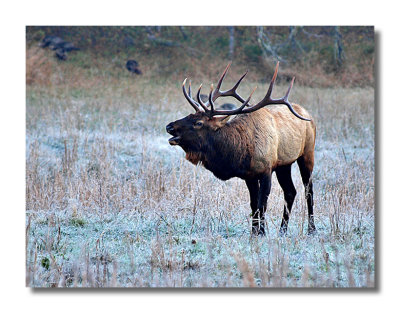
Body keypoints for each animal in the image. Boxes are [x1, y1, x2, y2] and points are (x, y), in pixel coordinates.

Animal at [166, 63, 316, 234]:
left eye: (198, 123)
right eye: (189, 115)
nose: (169, 126)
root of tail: (307, 113)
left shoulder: (266, 169)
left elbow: (262, 204)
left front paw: (261, 232)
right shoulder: (249, 175)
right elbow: (253, 205)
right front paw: (255, 232)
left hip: (307, 153)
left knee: (308, 190)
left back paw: (312, 229)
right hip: (284, 164)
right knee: (290, 191)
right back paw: (282, 230)